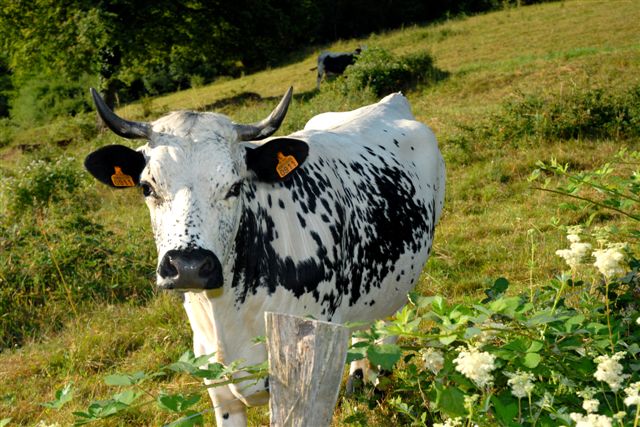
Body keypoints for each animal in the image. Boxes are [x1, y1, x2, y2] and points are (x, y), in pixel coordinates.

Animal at [84, 86, 445, 426]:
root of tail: (389, 102)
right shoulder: (217, 387)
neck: (226, 314)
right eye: (147, 187)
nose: (189, 266)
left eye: (235, 186)